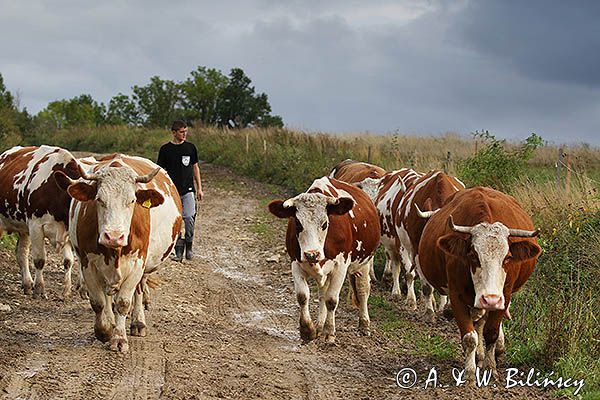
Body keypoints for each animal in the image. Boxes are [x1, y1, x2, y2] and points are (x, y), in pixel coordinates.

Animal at [0, 145, 82, 298]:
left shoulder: (67, 230)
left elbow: (69, 261)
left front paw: (67, 290)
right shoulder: (36, 226)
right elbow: (39, 260)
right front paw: (39, 289)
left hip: (24, 229)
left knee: (21, 253)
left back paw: (27, 284)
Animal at [53, 155, 180, 352]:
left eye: (132, 201)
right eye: (99, 199)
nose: (113, 236)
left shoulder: (137, 263)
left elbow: (123, 303)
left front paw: (120, 338)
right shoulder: (88, 263)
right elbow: (98, 302)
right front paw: (104, 330)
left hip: (145, 265)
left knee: (139, 290)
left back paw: (138, 323)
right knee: (107, 294)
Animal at [268, 177, 380, 344]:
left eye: (325, 224)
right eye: (298, 223)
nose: (311, 254)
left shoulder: (341, 266)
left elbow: (331, 300)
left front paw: (329, 332)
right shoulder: (295, 263)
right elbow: (303, 296)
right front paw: (308, 330)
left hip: (365, 261)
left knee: (362, 289)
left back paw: (364, 324)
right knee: (322, 293)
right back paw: (319, 325)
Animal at [418, 188, 540, 378]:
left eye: (507, 257)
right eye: (473, 255)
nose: (490, 299)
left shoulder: (504, 295)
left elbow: (491, 332)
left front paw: (491, 368)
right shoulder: (456, 295)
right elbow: (470, 337)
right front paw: (469, 373)